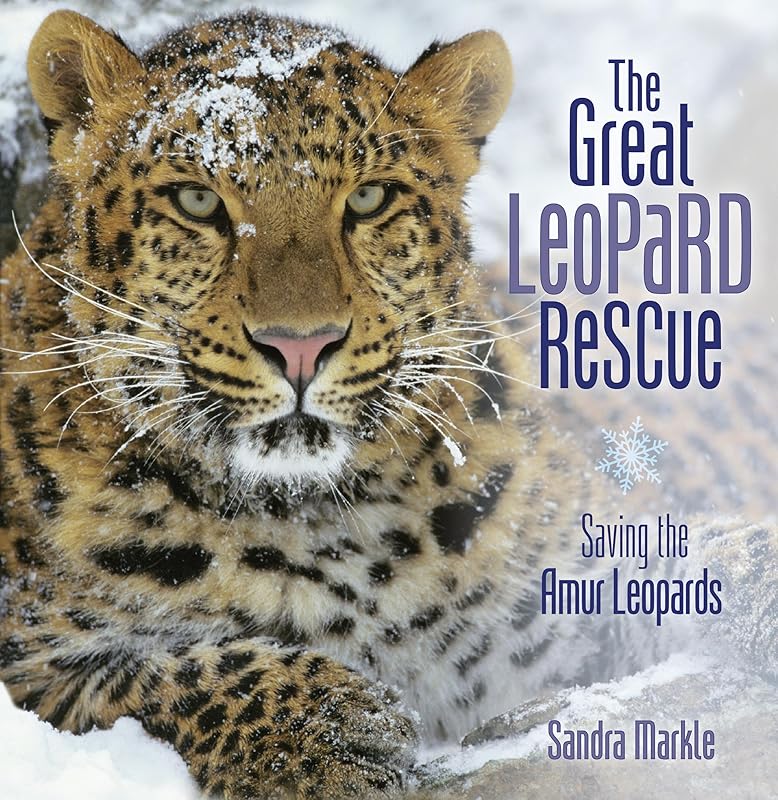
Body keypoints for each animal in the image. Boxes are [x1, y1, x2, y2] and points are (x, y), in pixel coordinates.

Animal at [0, 8, 776, 800]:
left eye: (370, 200)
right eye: (197, 201)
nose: (301, 347)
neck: (322, 523)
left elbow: (673, 560)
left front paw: (762, 582)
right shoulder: (28, 656)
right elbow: (161, 678)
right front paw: (329, 737)